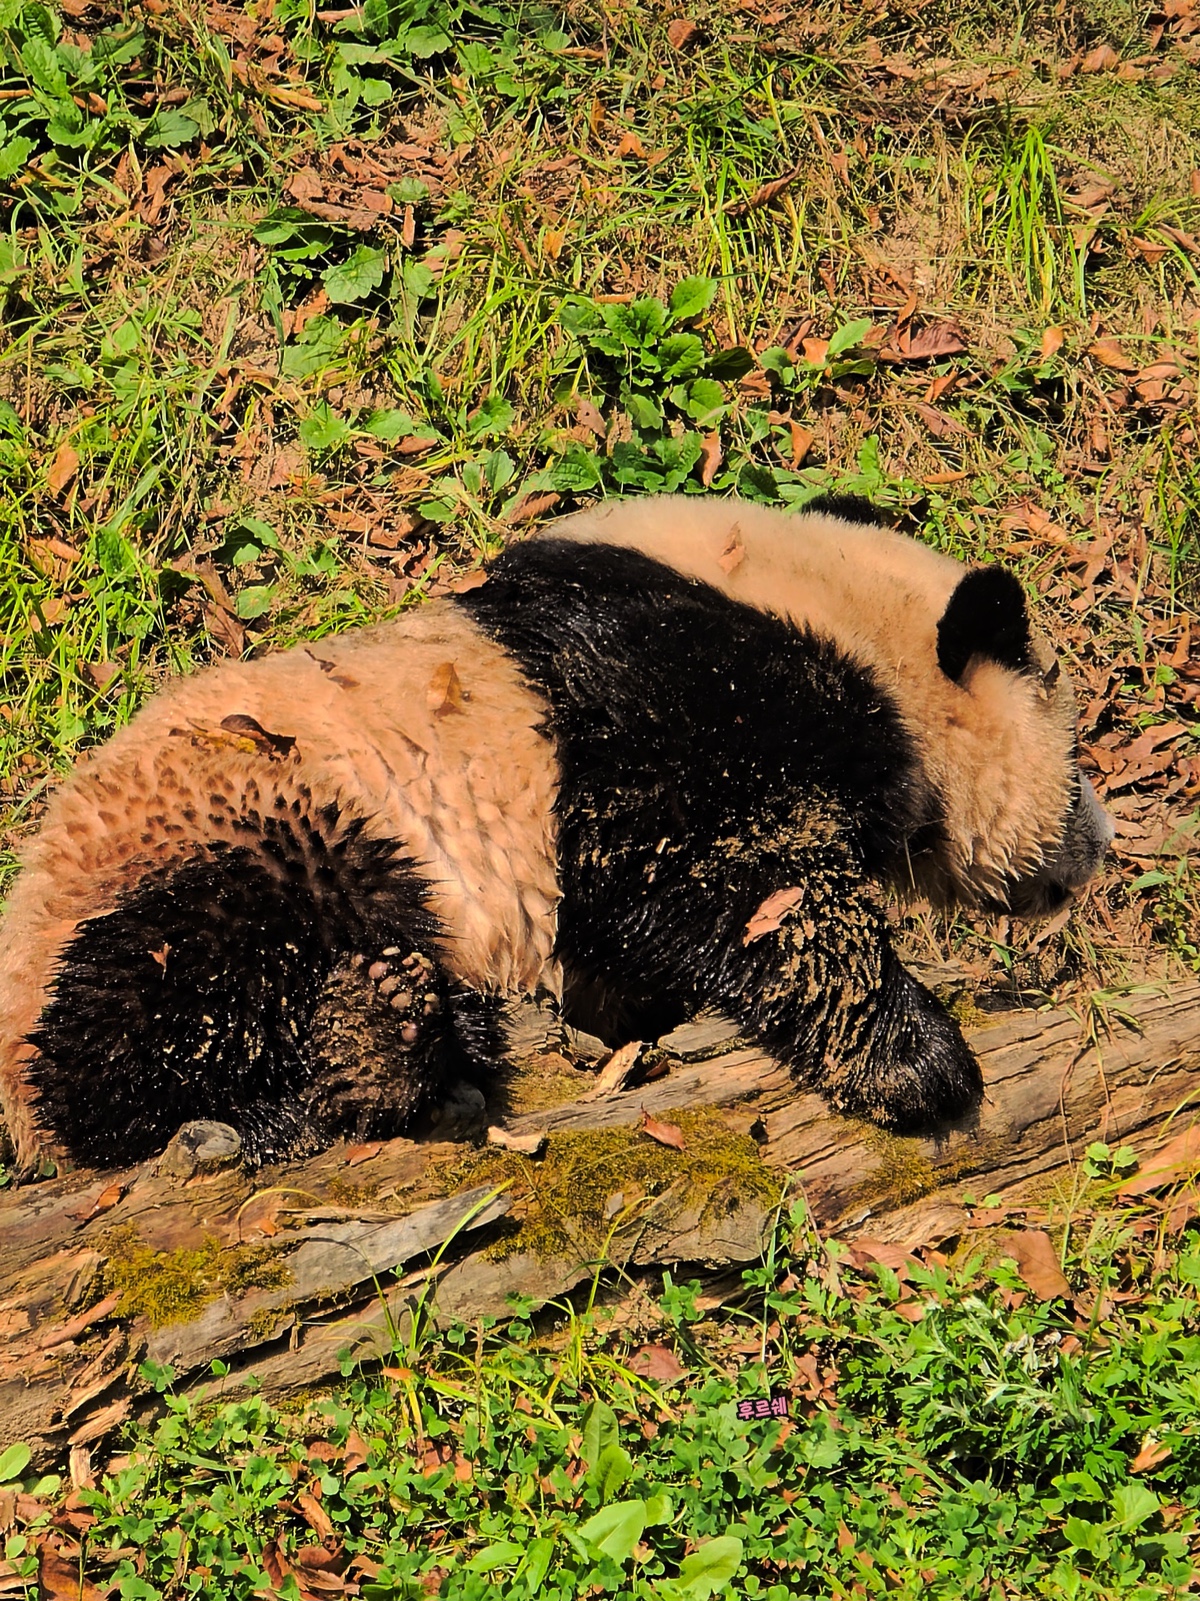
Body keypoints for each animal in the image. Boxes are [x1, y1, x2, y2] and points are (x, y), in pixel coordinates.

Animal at [0, 496, 1120, 1178]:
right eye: (1072, 768)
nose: (1101, 845)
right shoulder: (678, 698)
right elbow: (735, 872)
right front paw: (919, 1062)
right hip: (241, 822)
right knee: (163, 1013)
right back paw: (367, 1042)